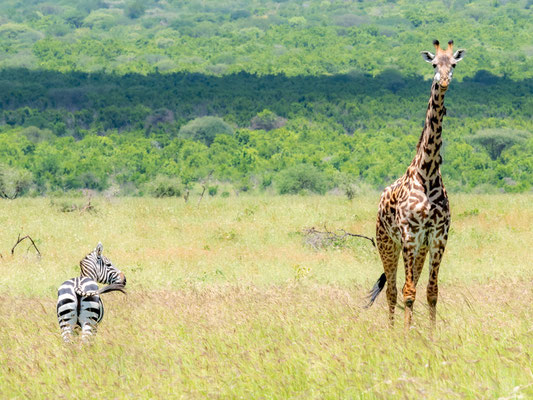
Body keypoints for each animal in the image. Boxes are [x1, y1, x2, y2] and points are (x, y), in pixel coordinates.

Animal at [366, 39, 466, 332]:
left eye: (453, 64)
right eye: (434, 64)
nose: (443, 81)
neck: (428, 171)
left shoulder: (438, 235)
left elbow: (431, 292)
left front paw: (430, 337)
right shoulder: (409, 234)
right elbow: (407, 292)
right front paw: (406, 336)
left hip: (418, 247)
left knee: (410, 286)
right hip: (387, 242)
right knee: (392, 290)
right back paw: (391, 331)